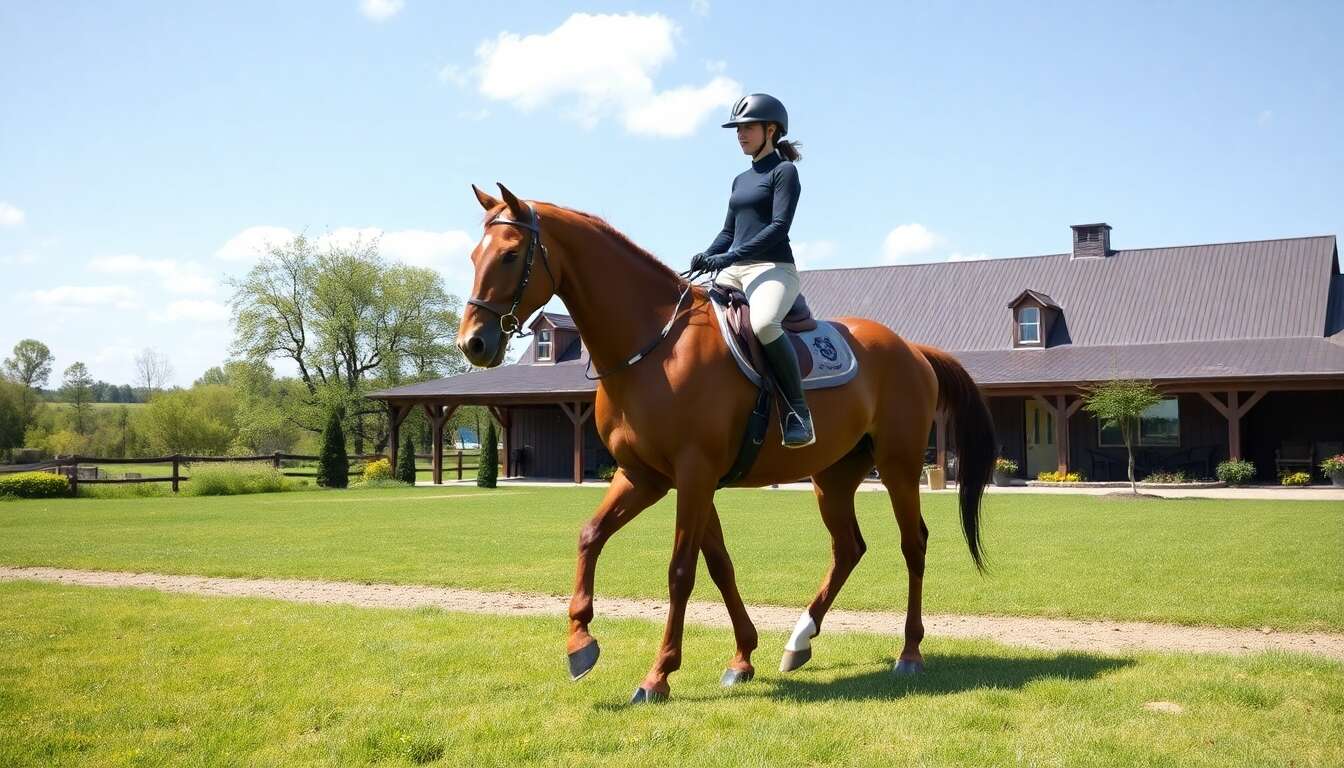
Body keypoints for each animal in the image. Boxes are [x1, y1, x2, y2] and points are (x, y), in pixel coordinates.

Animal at [457, 183, 995, 704]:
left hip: (899, 466)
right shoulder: (651, 478)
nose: (473, 343)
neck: (656, 348)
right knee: (848, 547)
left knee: (913, 544)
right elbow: (638, 547)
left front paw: (658, 675)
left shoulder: (693, 475)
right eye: (473, 255)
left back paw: (909, 653)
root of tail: (912, 349)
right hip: (834, 476)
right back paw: (799, 641)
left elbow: (681, 570)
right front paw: (586, 645)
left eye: (509, 255)